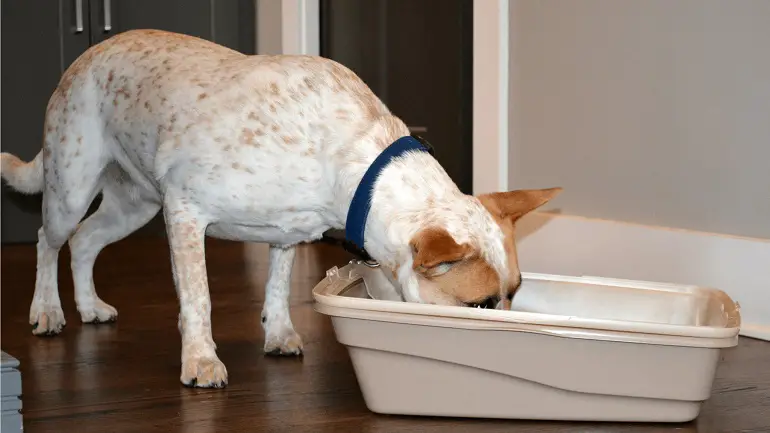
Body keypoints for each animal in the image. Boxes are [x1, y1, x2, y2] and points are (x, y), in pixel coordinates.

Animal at [0, 30, 560, 388]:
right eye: (480, 306)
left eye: (514, 295)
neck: (356, 164)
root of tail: (86, 53)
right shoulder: (184, 212)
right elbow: (198, 300)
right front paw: (201, 361)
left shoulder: (287, 231)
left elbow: (277, 286)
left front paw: (278, 334)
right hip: (72, 186)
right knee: (49, 241)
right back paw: (48, 311)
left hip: (133, 205)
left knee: (85, 242)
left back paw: (91, 307)